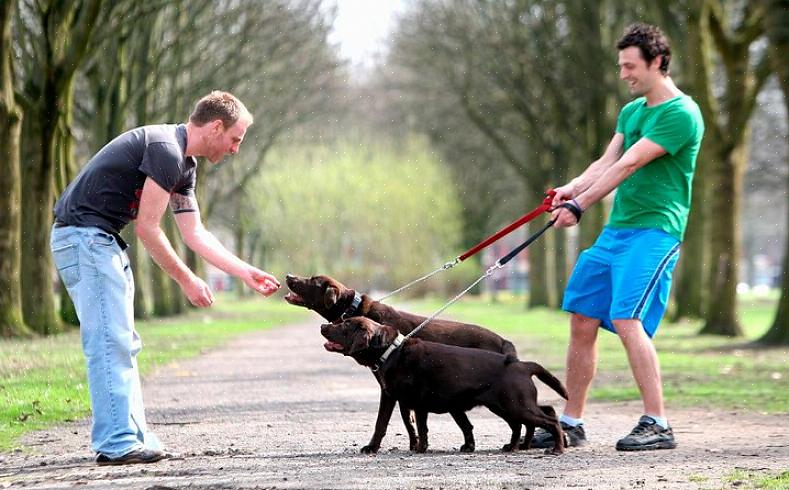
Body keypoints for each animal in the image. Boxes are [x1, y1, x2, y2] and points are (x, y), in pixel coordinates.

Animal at [286, 272, 520, 452]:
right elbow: (409, 421)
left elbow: (383, 422)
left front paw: (373, 447)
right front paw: (414, 444)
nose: (288, 276)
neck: (353, 309)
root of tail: (504, 342)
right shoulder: (397, 390)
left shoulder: (389, 388)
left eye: (312, 280)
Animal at [320, 318, 568, 456]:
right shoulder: (392, 397)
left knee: (549, 419)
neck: (392, 351)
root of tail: (522, 364)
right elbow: (383, 424)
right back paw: (517, 446)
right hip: (507, 406)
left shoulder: (415, 401)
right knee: (530, 420)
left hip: (515, 405)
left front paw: (419, 449)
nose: (323, 325)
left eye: (345, 324)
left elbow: (419, 428)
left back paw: (557, 448)